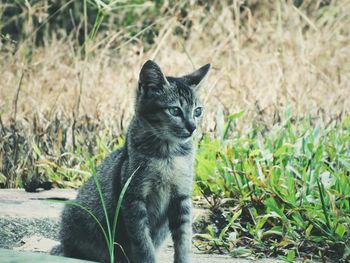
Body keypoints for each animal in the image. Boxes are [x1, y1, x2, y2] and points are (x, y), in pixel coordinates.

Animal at [53, 60, 209, 263]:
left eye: (198, 111)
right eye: (175, 110)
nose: (192, 127)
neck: (168, 154)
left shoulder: (181, 197)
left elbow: (183, 239)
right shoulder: (133, 197)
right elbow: (143, 242)